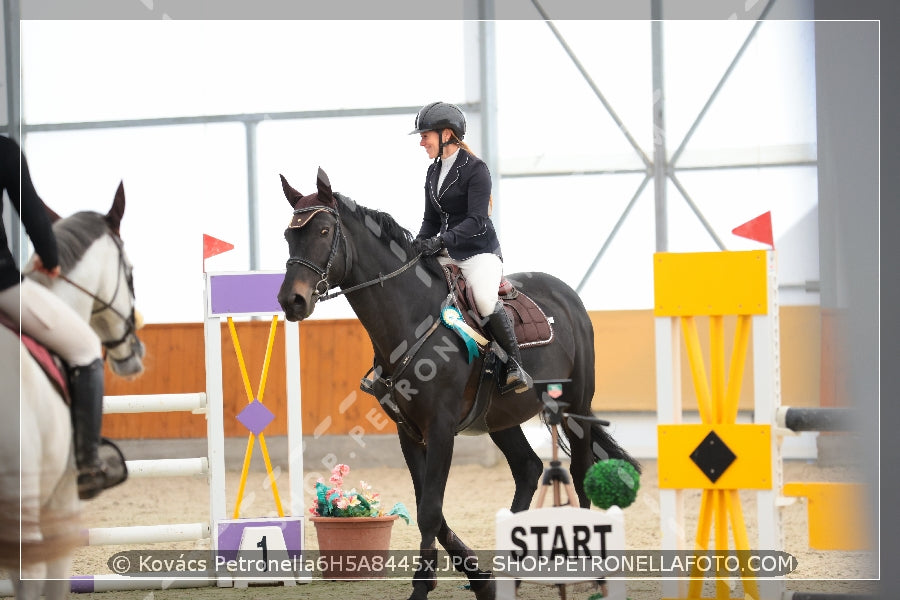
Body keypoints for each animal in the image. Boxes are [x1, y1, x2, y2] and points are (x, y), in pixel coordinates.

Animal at [278, 168, 636, 600]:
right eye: (288, 235)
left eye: (325, 231)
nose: (292, 301)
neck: (411, 320)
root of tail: (568, 295)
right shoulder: (410, 432)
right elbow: (427, 507)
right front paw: (477, 578)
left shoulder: (441, 427)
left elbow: (430, 511)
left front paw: (422, 588)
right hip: (500, 417)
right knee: (528, 468)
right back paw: (509, 575)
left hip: (574, 407)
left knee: (579, 468)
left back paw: (589, 569)